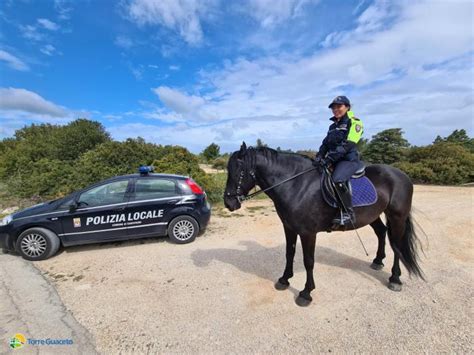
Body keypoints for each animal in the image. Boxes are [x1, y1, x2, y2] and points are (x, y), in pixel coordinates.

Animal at [224, 143, 424, 308]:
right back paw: (377, 261)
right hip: (372, 215)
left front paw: (306, 293)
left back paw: (395, 279)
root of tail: (402, 175)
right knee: (382, 233)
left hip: (397, 217)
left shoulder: (308, 233)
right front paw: (284, 280)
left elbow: (308, 261)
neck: (296, 185)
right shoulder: (289, 228)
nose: (228, 203)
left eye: (238, 171)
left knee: (397, 245)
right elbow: (289, 254)